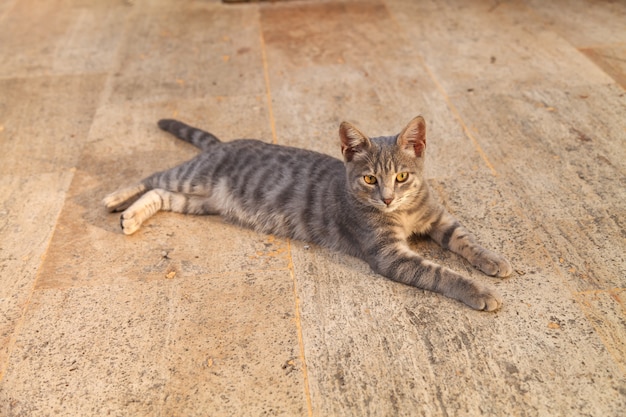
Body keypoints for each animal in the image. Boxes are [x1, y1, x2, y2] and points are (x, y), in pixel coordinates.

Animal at [103, 115, 512, 310]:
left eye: (402, 176)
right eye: (369, 178)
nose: (387, 199)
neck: (406, 214)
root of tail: (223, 143)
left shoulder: (439, 219)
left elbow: (465, 239)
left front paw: (493, 260)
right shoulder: (390, 255)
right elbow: (441, 273)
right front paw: (478, 290)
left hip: (200, 202)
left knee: (160, 193)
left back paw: (132, 217)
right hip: (193, 178)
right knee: (152, 178)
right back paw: (115, 199)